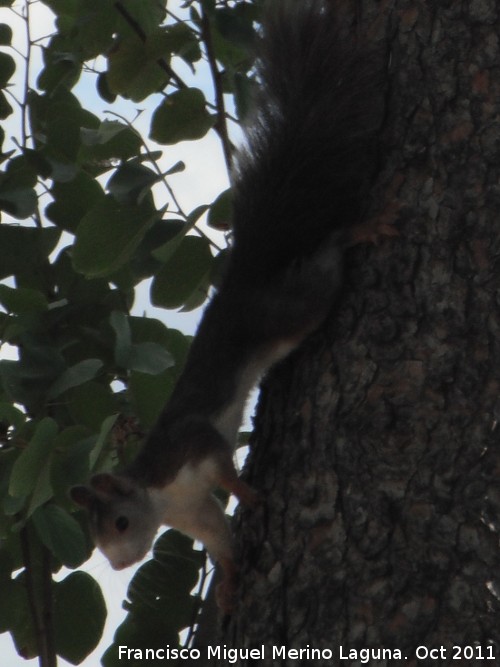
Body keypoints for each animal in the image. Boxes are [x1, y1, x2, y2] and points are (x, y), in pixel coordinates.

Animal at [70, 0, 394, 612]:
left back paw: (360, 232)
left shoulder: (191, 447)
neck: (163, 497)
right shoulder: (193, 513)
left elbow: (223, 467)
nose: (120, 564)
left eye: (120, 524)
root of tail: (245, 278)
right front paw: (228, 583)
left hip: (292, 310)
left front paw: (248, 491)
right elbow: (219, 540)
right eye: (98, 543)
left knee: (326, 262)